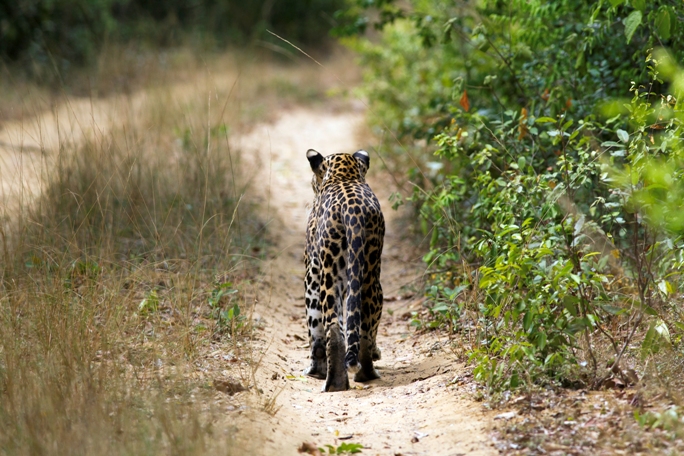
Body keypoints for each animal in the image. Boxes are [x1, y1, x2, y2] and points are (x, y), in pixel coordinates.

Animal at [302, 149, 385, 392]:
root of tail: (352, 212)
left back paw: (338, 381)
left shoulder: (311, 274)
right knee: (361, 325)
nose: (312, 183)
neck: (344, 175)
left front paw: (314, 370)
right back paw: (361, 374)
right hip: (369, 276)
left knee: (333, 328)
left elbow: (315, 331)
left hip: (331, 275)